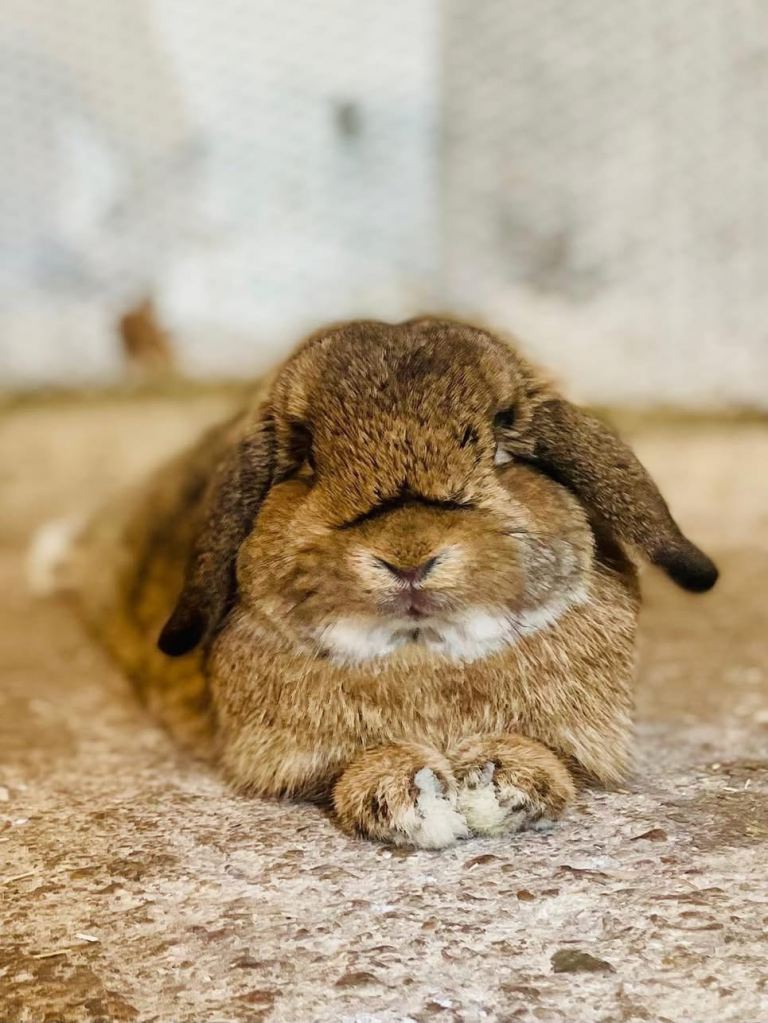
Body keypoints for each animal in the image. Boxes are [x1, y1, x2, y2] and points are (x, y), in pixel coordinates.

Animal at [64, 317, 718, 848]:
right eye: (307, 460)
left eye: (502, 449)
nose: (408, 559)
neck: (422, 655)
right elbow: (347, 770)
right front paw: (410, 794)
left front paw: (501, 780)